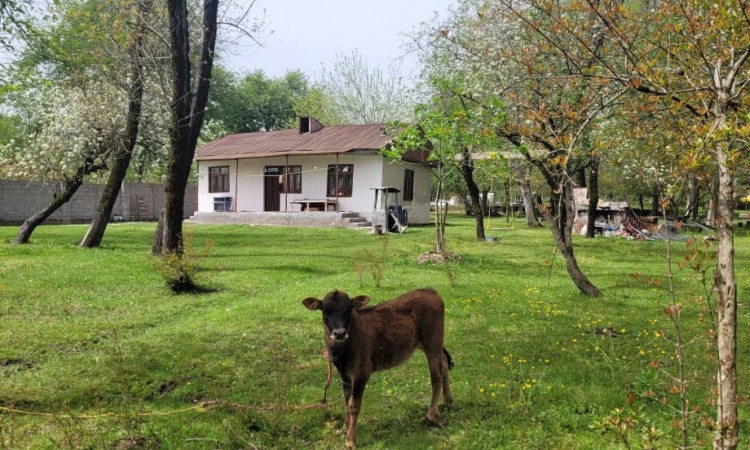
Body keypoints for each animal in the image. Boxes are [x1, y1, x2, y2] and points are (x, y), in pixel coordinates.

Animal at [302, 288, 452, 446]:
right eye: (325, 310)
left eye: (349, 309)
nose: (339, 333)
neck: (342, 353)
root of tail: (431, 291)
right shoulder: (344, 376)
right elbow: (347, 402)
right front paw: (345, 428)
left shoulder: (362, 372)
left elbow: (354, 405)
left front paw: (351, 440)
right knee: (444, 363)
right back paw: (448, 402)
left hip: (433, 342)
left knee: (436, 376)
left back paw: (431, 414)